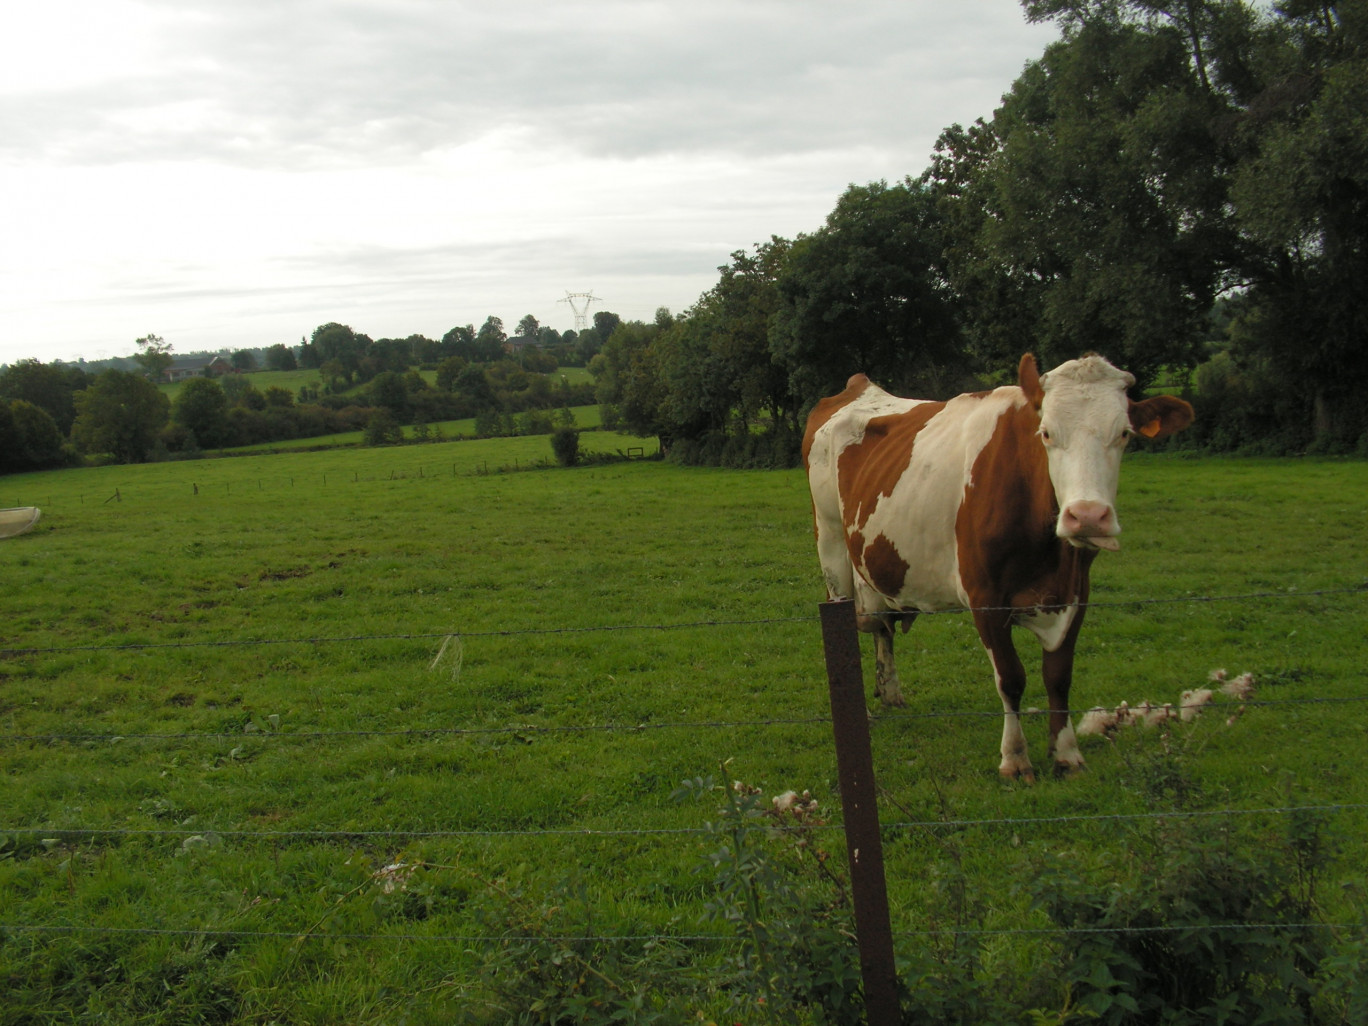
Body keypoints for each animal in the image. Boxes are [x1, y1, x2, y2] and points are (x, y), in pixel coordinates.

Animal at [804, 352, 1192, 777]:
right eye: (1046, 434)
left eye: (1124, 433)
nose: (1088, 516)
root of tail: (859, 386)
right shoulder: (985, 596)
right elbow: (1011, 678)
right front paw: (1015, 758)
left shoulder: (1077, 592)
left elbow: (1059, 676)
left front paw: (1067, 753)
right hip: (832, 545)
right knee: (844, 625)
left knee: (882, 629)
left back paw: (891, 692)